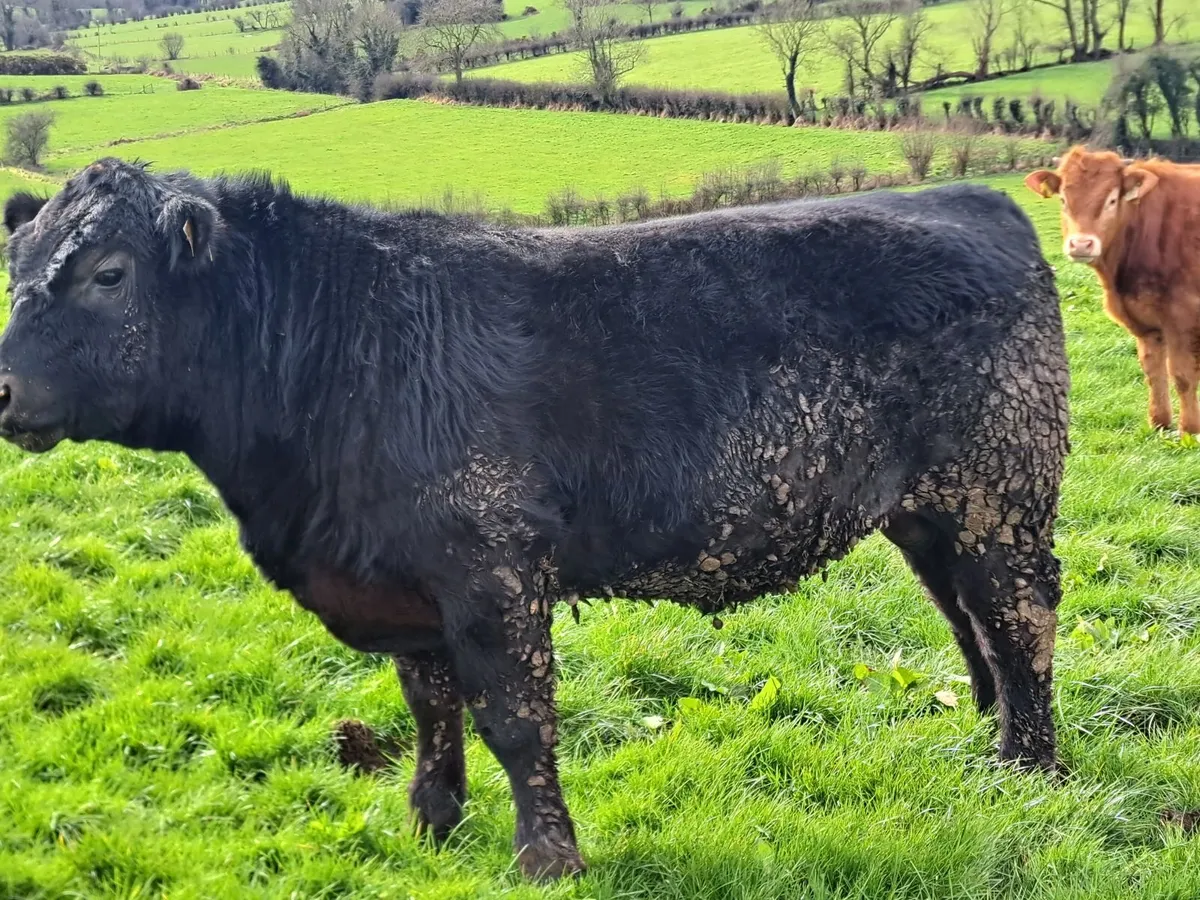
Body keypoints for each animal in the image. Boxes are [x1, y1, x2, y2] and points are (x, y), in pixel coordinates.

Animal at [0, 159, 1069, 881]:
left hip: (1001, 493)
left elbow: (515, 720)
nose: (2, 388)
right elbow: (431, 709)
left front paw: (547, 859)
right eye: (18, 262)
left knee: (1020, 622)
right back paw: (989, 735)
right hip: (927, 513)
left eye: (107, 273)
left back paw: (1029, 770)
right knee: (970, 622)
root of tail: (972, 197)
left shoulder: (492, 572)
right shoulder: (405, 586)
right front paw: (430, 823)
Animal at [1025, 146, 1200, 434]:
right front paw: (1159, 423)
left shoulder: (1182, 318)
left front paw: (1189, 430)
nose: (1081, 244)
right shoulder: (1144, 320)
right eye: (1063, 200)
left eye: (1112, 200)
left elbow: (1182, 375)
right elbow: (1153, 372)